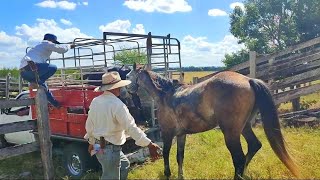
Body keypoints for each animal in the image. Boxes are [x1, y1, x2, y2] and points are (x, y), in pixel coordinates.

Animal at [126, 64, 298, 179]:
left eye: (127, 76)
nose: (129, 91)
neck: (166, 95)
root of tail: (249, 80)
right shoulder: (181, 135)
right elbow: (180, 157)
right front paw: (181, 176)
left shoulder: (167, 134)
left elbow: (166, 154)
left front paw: (167, 174)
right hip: (244, 127)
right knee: (254, 146)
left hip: (231, 133)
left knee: (239, 158)